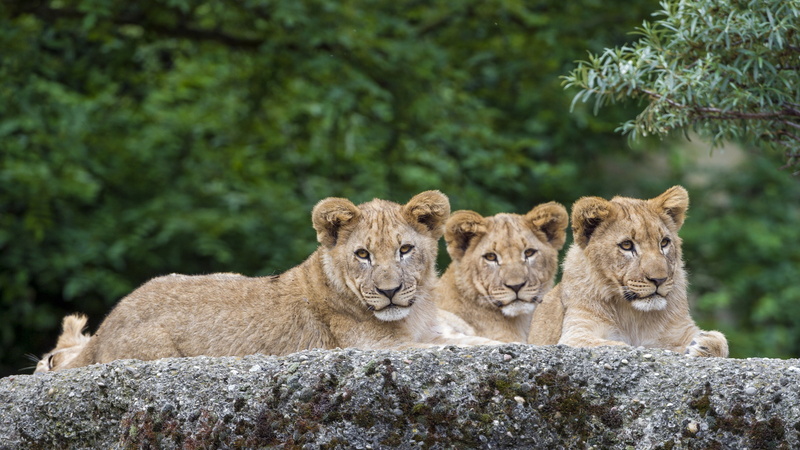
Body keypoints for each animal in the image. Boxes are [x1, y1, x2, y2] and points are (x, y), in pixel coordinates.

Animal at [56, 191, 498, 370]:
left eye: (405, 249)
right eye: (362, 255)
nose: (389, 292)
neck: (414, 313)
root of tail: (106, 326)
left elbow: (463, 338)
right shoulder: (377, 347)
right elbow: (459, 345)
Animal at [528, 186, 728, 357]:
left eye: (664, 242)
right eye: (626, 245)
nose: (659, 280)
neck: (633, 315)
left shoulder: (679, 329)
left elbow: (721, 340)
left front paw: (703, 345)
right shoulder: (577, 332)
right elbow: (616, 345)